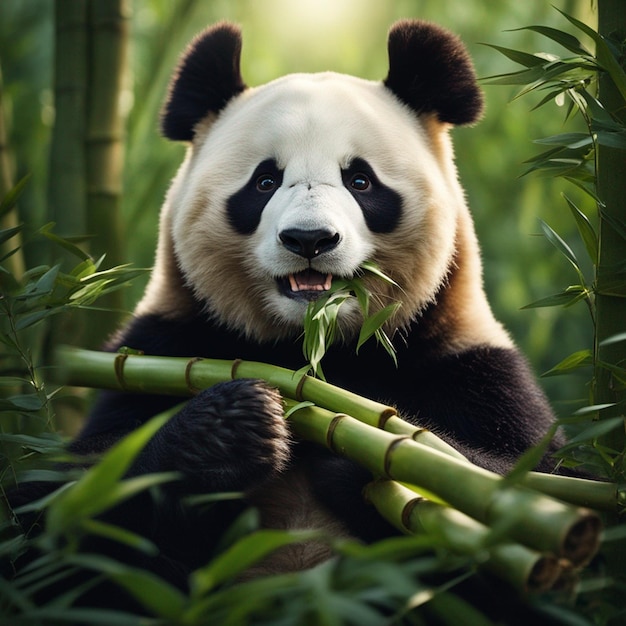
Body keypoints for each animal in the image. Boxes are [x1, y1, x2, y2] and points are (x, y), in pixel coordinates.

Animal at [14, 18, 564, 604]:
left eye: (361, 181)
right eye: (264, 182)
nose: (309, 239)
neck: (315, 350)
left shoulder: (467, 365)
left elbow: (525, 487)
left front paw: (362, 451)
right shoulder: (159, 347)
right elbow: (59, 503)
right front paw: (230, 427)